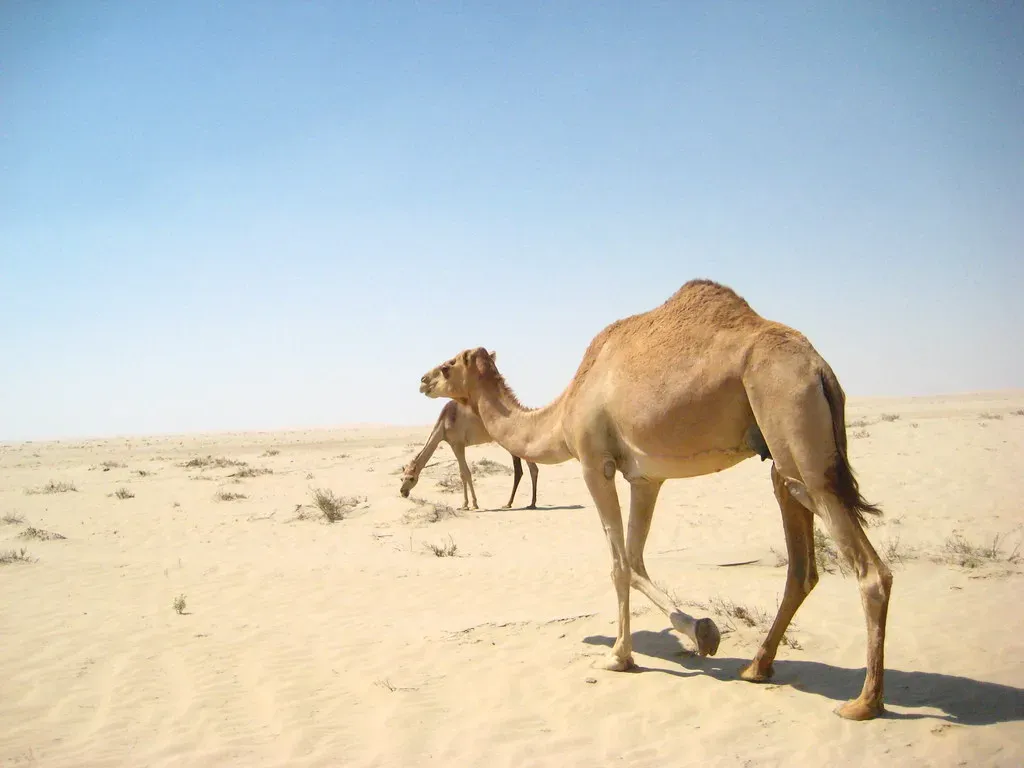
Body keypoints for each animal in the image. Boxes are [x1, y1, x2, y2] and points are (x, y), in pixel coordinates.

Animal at [400, 398, 539, 510]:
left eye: (412, 478)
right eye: (401, 478)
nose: (403, 491)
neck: (444, 423)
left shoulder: (458, 444)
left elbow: (465, 473)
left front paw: (472, 504)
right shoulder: (455, 445)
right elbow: (462, 474)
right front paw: (465, 504)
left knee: (524, 470)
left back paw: (518, 503)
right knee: (531, 469)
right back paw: (527, 503)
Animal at [417, 279, 892, 721]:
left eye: (447, 365)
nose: (422, 379)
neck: (566, 407)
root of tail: (819, 369)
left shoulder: (595, 463)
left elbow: (617, 565)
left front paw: (618, 656)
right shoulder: (645, 477)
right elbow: (635, 560)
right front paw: (701, 632)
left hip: (793, 426)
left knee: (870, 570)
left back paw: (863, 702)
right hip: (783, 459)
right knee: (801, 565)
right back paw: (757, 667)